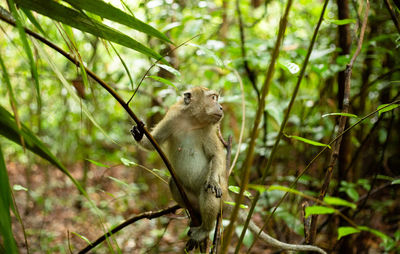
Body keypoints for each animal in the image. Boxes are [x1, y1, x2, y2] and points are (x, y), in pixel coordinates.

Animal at [133, 86, 326, 253]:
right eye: (213, 98)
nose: (220, 106)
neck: (192, 121)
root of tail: (227, 197)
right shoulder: (173, 117)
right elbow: (153, 142)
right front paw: (139, 134)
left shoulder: (209, 130)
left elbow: (216, 157)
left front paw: (212, 180)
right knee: (174, 183)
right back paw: (196, 218)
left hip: (221, 195)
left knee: (208, 191)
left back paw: (205, 227)